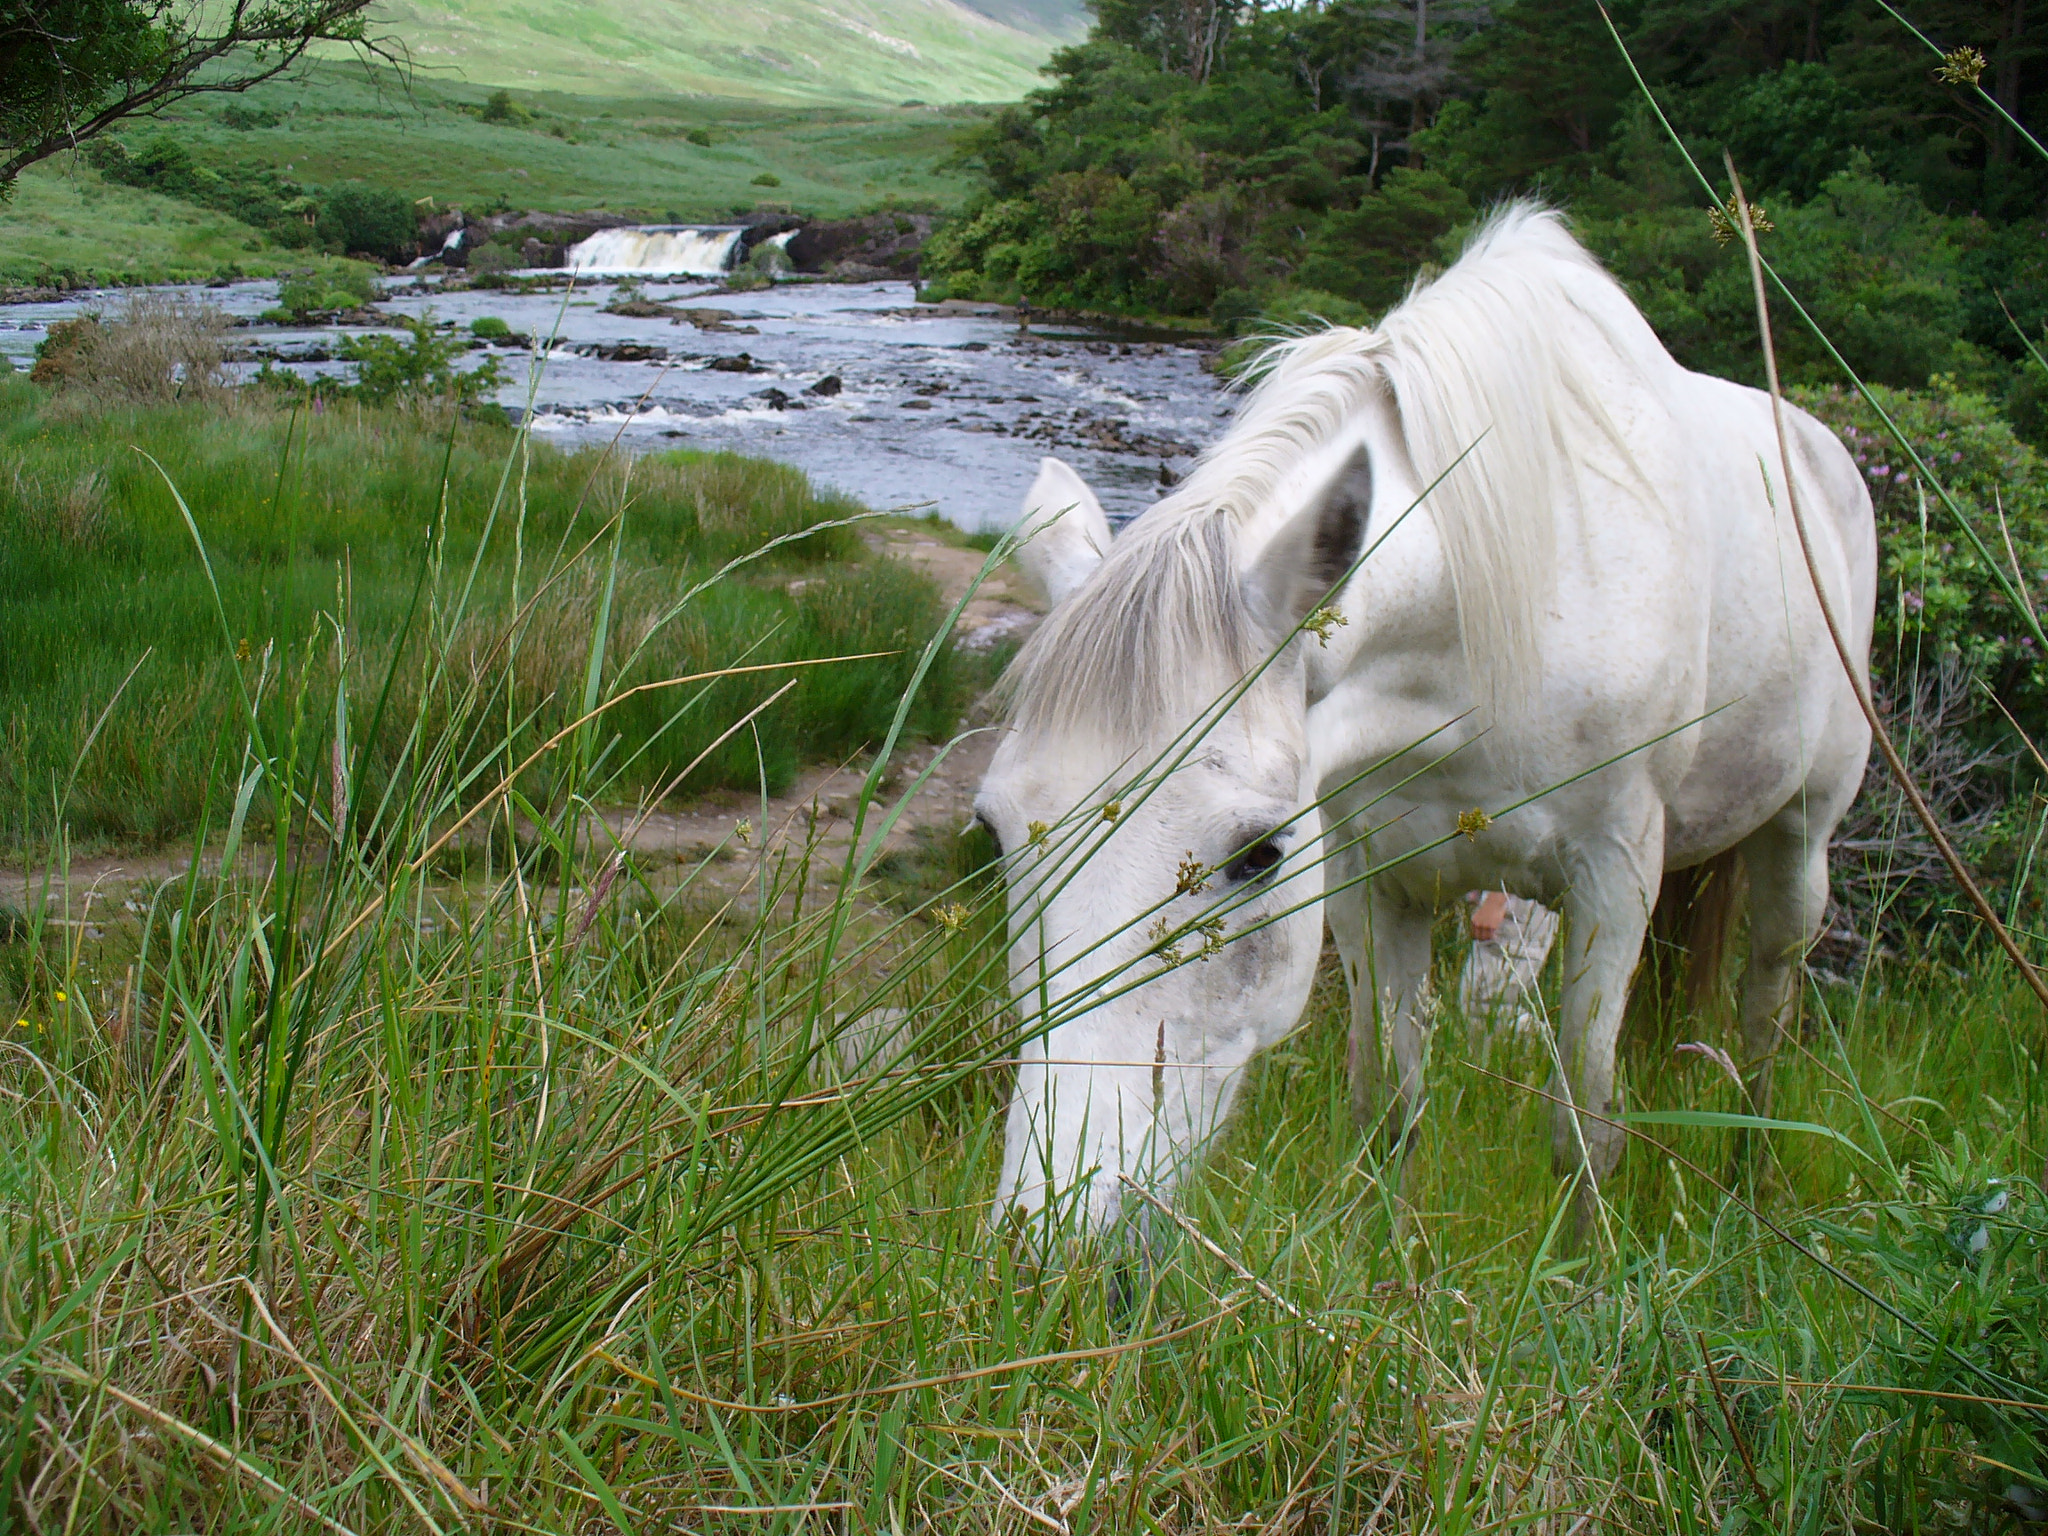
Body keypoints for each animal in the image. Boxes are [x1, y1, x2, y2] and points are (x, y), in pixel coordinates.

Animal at [974, 204, 1875, 1245]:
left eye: (1258, 854)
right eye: (992, 832)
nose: (1051, 1242)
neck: (1483, 642)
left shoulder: (1615, 875)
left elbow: (1586, 1129)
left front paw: (1581, 1273)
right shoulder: (1375, 884)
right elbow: (1388, 1110)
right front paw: (1386, 1259)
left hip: (1801, 836)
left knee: (1768, 1008)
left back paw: (1750, 1190)